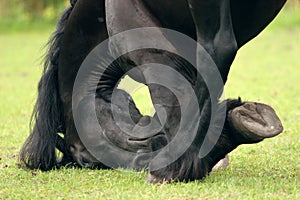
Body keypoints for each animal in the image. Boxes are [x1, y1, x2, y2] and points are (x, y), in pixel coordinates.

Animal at [19, 0, 288, 182]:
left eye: (87, 161)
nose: (145, 162)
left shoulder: (149, 48)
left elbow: (173, 99)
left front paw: (178, 166)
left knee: (217, 47)